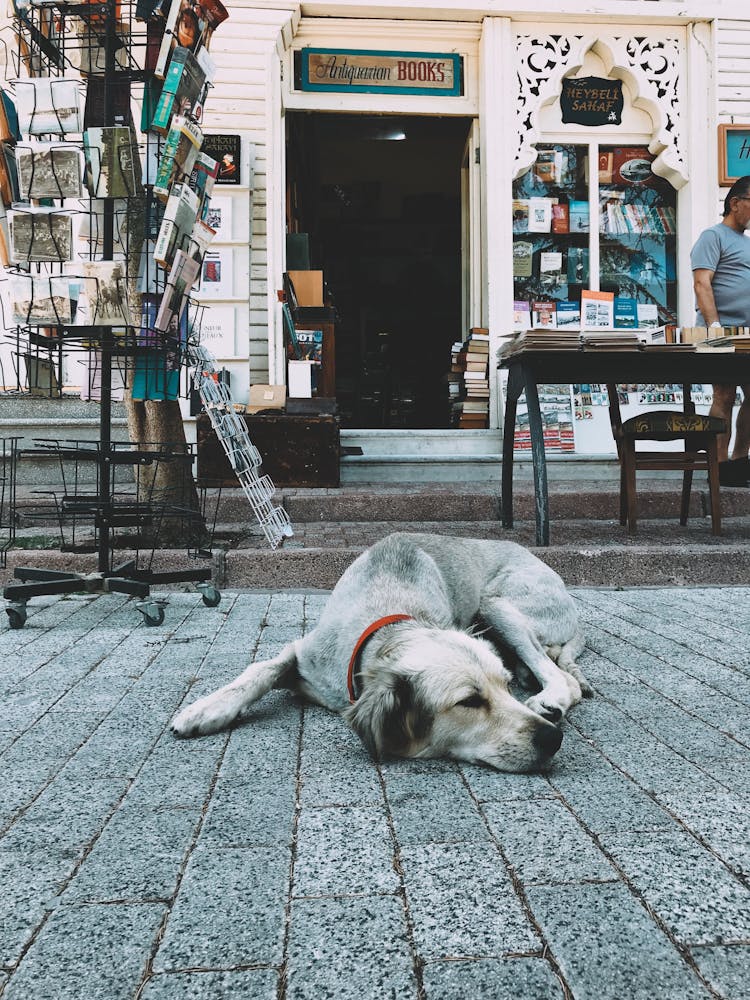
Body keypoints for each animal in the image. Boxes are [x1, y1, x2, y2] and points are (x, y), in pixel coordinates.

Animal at [173, 532, 592, 772]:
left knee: (560, 675)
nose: (553, 739)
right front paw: (205, 709)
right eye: (469, 701)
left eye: (504, 689)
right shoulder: (306, 653)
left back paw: (550, 696)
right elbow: (259, 669)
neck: (388, 617)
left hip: (498, 604)